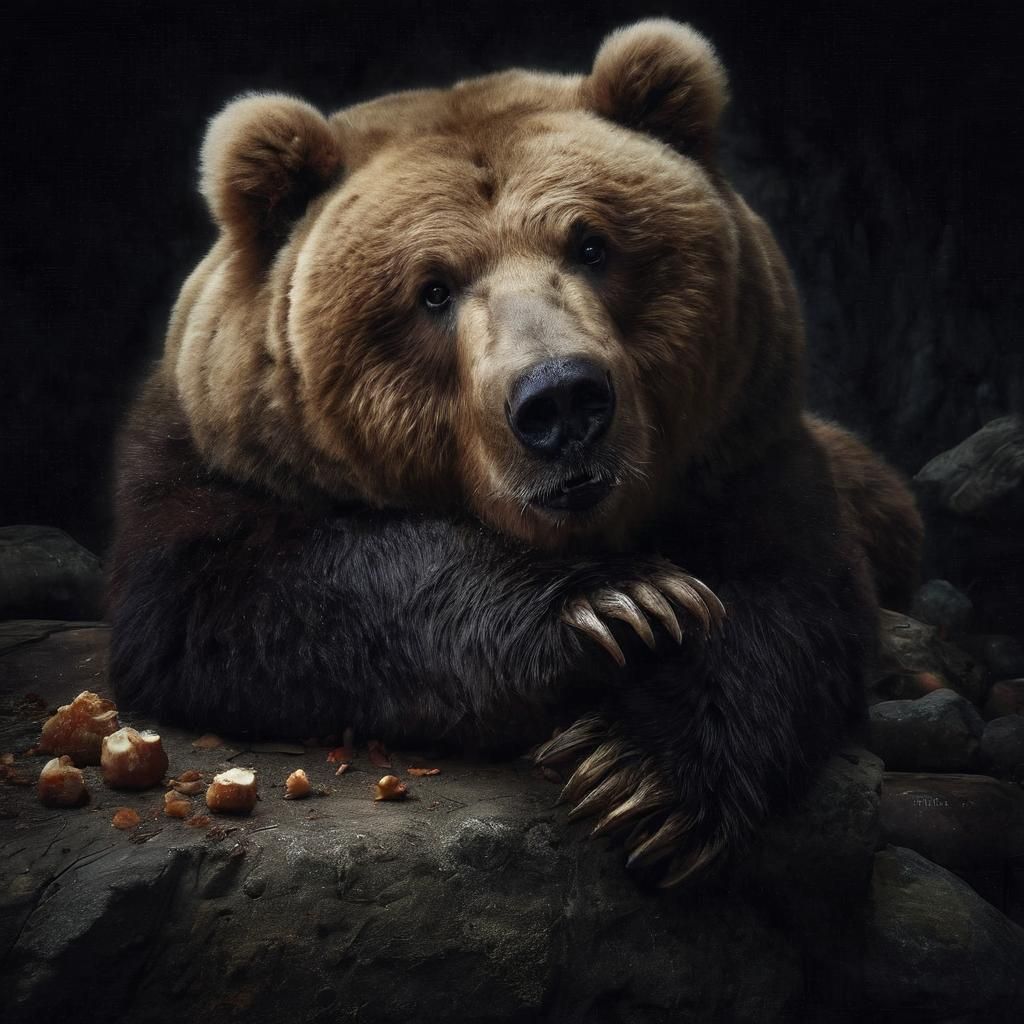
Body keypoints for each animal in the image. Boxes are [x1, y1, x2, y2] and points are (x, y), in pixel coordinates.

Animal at [108, 20, 922, 885]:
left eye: (593, 245)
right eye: (432, 289)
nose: (561, 400)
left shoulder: (746, 447)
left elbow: (793, 598)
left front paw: (637, 773)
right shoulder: (210, 467)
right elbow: (241, 595)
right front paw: (620, 603)